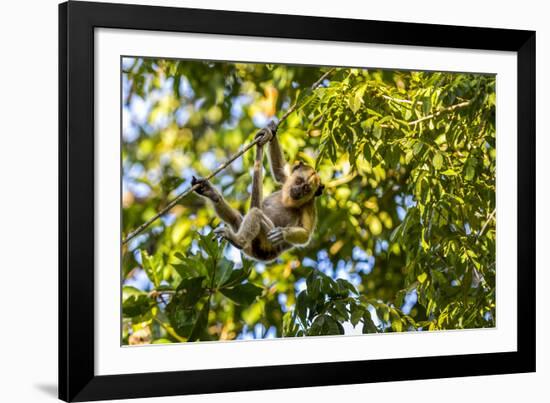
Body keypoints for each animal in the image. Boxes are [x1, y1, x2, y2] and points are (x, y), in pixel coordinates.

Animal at [193, 122, 326, 262]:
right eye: (299, 181)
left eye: (306, 188)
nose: (298, 191)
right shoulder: (288, 179)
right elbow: (279, 172)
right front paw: (272, 131)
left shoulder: (309, 206)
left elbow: (306, 234)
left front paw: (283, 233)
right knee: (236, 218)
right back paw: (213, 195)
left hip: (267, 243)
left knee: (256, 213)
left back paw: (238, 241)